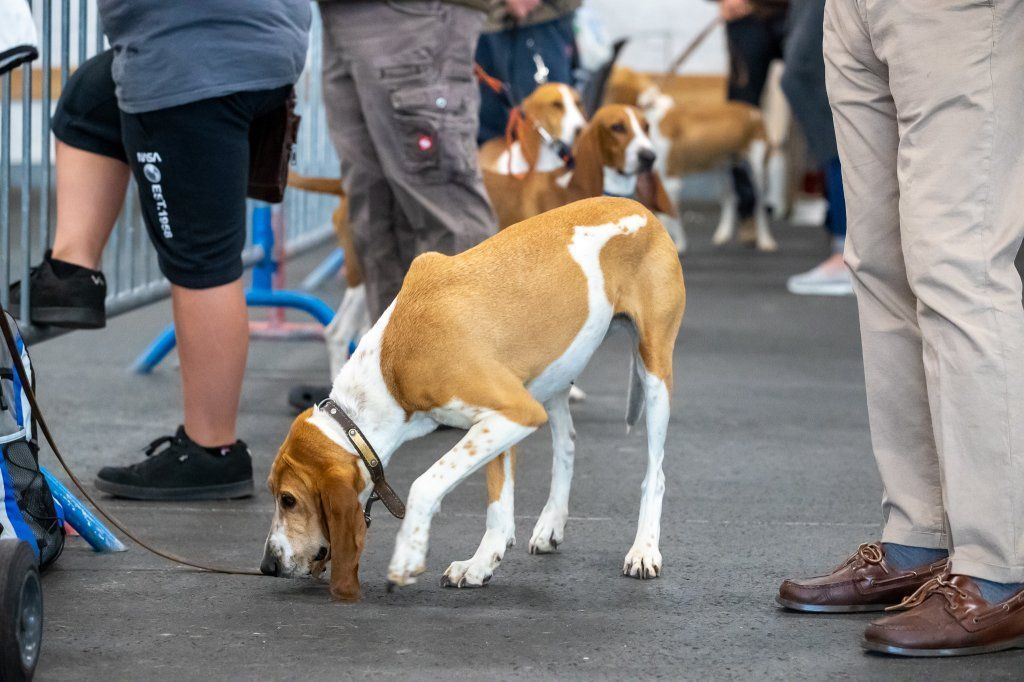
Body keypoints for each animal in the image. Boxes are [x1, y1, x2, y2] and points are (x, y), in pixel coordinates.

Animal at [264, 193, 684, 598]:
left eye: (288, 499)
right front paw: (481, 564)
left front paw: (408, 557)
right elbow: (499, 505)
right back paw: (551, 523)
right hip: (553, 376)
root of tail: (642, 209)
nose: (267, 566)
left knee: (656, 471)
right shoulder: (501, 419)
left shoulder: (515, 411)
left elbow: (425, 484)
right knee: (566, 444)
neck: (389, 369)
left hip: (654, 371)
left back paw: (644, 549)